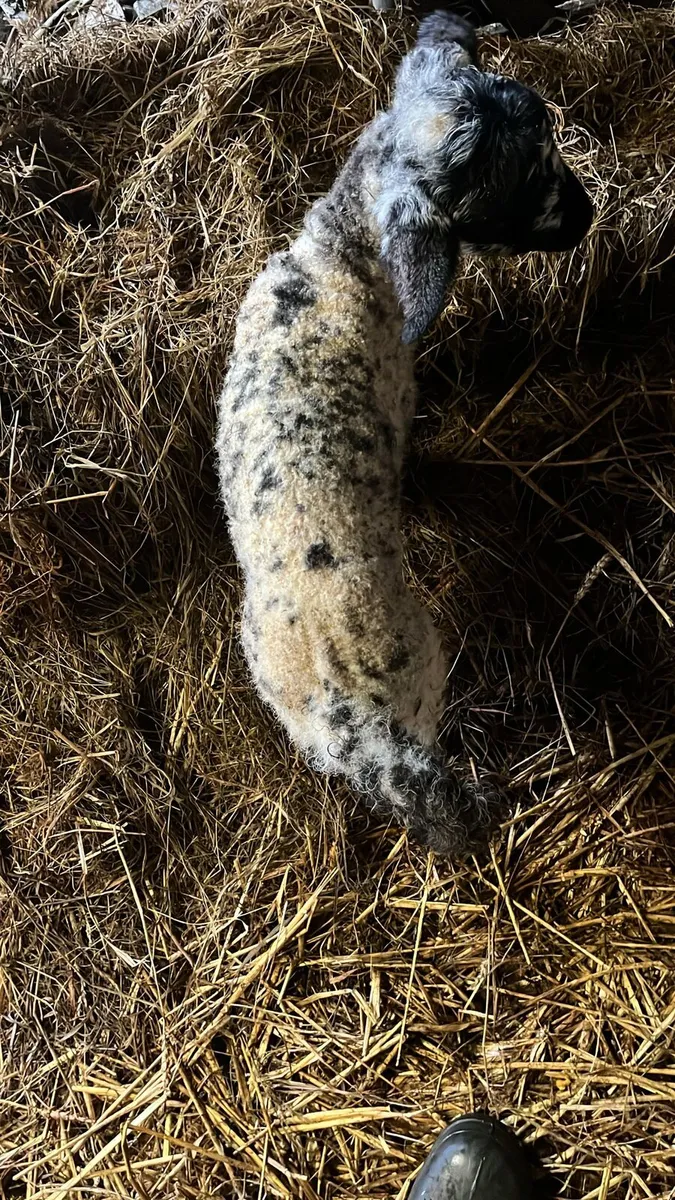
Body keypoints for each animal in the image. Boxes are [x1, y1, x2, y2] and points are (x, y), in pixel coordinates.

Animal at [216, 10, 593, 855]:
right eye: (517, 186)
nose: (586, 217)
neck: (336, 255)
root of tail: (355, 725)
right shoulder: (398, 392)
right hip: (423, 667)